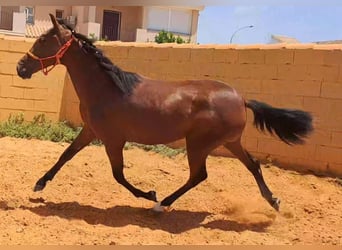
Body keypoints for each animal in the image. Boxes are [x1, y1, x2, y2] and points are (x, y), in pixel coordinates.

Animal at [17, 14, 314, 212]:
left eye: (43, 39)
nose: (21, 67)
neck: (107, 90)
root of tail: (241, 99)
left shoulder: (113, 140)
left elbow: (118, 175)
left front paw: (149, 194)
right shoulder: (90, 131)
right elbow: (65, 155)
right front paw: (39, 183)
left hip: (199, 144)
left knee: (199, 175)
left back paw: (162, 204)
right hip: (230, 142)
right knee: (253, 165)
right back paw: (273, 201)